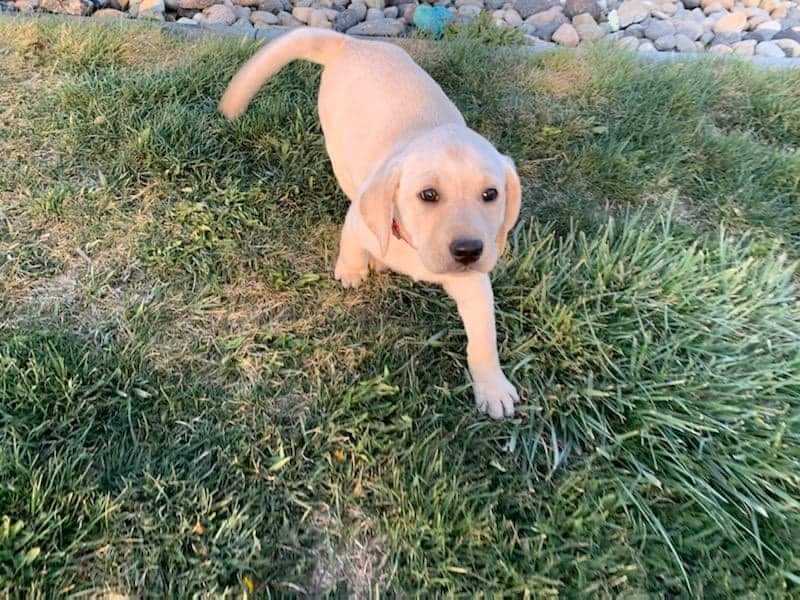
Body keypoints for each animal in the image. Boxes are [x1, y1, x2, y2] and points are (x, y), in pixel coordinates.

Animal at [219, 28, 520, 420]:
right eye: (428, 195)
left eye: (490, 194)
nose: (468, 250)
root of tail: (351, 43)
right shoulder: (359, 219)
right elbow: (352, 244)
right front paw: (352, 271)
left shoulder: (473, 284)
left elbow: (484, 338)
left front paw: (493, 387)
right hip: (337, 143)